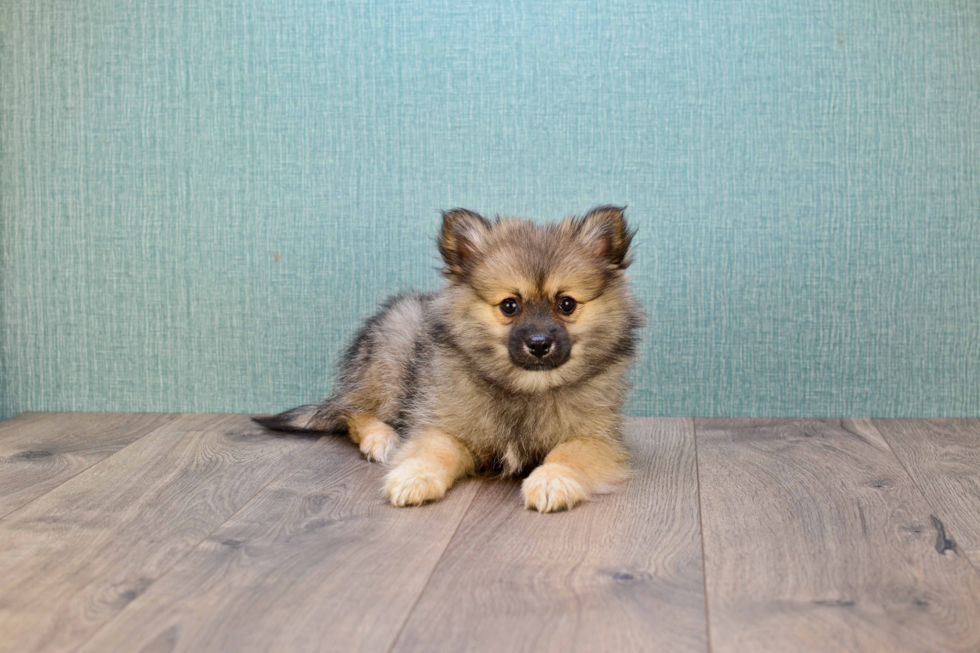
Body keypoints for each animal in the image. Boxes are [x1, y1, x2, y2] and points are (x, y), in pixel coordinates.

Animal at [256, 206, 644, 512]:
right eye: (509, 306)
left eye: (566, 304)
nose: (538, 343)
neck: (526, 389)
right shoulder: (444, 427)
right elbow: (432, 452)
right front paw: (414, 477)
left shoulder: (595, 439)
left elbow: (565, 457)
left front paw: (551, 482)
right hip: (392, 351)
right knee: (353, 411)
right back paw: (381, 438)